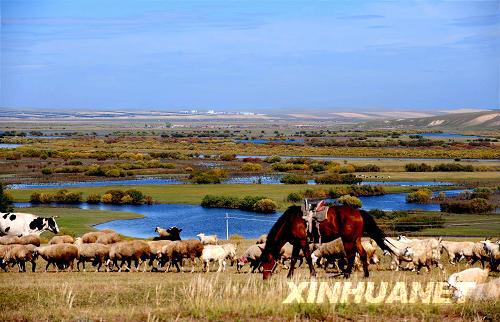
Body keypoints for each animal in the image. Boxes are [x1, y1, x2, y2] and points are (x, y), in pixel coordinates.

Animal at [260, 206, 392, 280]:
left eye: (267, 260)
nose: (265, 278)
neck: (291, 221)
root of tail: (358, 212)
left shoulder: (302, 241)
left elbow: (307, 258)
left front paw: (313, 274)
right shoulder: (297, 243)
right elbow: (293, 259)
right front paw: (289, 276)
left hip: (348, 240)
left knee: (351, 256)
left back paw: (346, 274)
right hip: (356, 239)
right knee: (363, 254)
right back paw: (365, 275)